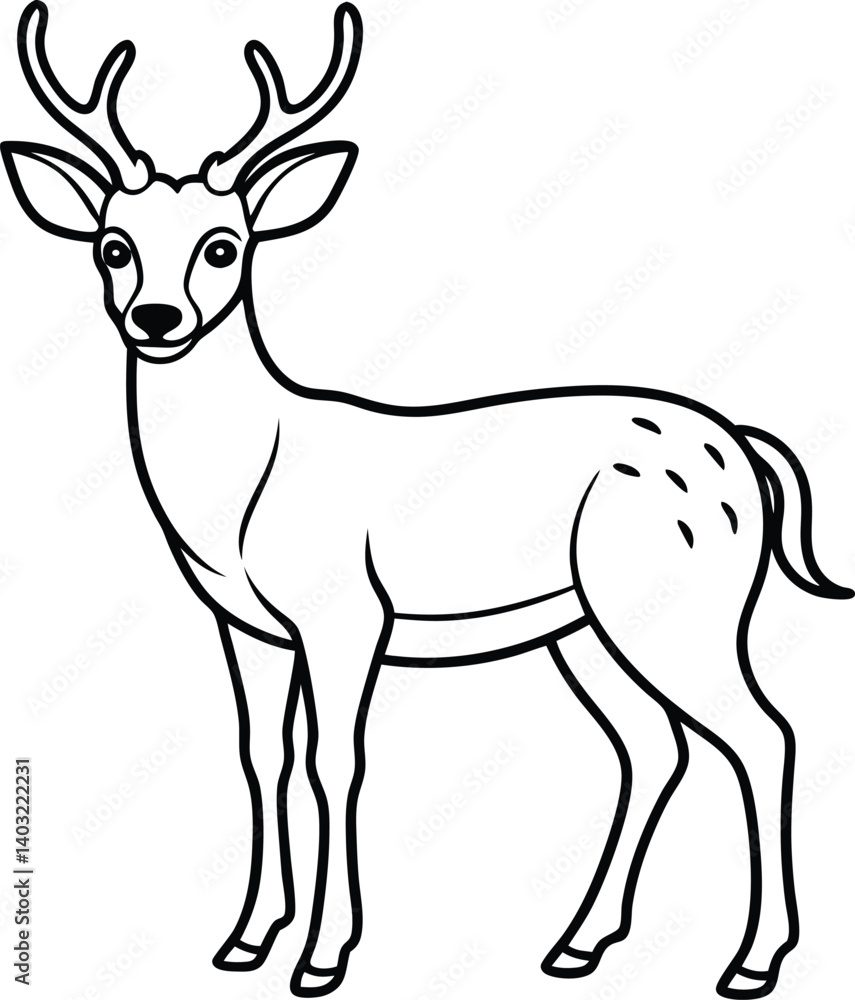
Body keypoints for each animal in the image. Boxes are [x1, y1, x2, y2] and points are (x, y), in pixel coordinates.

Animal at [3, 2, 851, 997]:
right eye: (113, 243)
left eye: (224, 245)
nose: (157, 318)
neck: (243, 495)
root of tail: (742, 449)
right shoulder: (245, 625)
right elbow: (262, 757)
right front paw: (247, 939)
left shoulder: (345, 613)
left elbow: (335, 762)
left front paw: (322, 956)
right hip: (587, 624)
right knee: (653, 746)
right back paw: (577, 944)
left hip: (688, 601)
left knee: (763, 734)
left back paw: (751, 961)